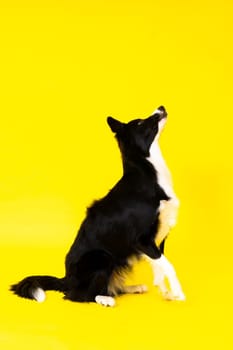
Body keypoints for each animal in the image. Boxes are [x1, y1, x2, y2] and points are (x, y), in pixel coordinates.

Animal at [10, 106, 186, 306]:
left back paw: (131, 288)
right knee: (78, 295)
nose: (161, 107)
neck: (148, 173)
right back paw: (104, 299)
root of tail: (66, 279)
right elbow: (168, 266)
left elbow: (159, 268)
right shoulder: (142, 240)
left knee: (109, 286)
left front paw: (166, 293)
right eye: (141, 122)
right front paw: (179, 293)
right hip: (102, 257)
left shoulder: (157, 239)